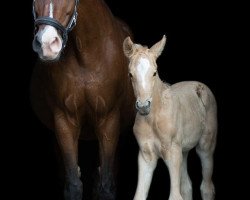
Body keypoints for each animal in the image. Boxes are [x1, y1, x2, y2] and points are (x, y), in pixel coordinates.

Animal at [30, 0, 135, 199]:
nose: (47, 44)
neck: (86, 55)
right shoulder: (64, 121)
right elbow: (73, 185)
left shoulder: (109, 122)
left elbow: (106, 185)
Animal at [123, 36, 217, 200]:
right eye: (130, 74)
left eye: (154, 73)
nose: (143, 106)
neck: (154, 119)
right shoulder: (146, 156)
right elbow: (140, 195)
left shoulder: (172, 153)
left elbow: (175, 196)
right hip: (183, 151)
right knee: (187, 187)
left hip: (205, 146)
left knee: (206, 187)